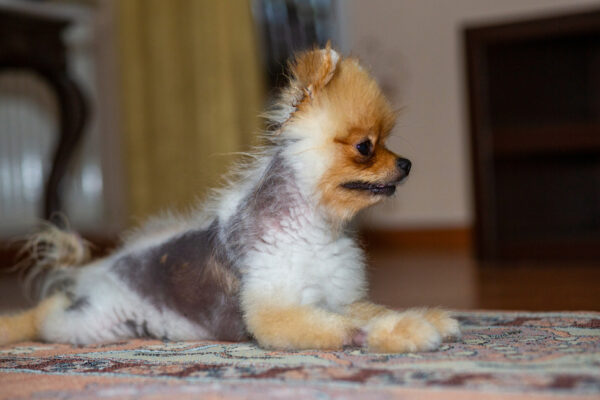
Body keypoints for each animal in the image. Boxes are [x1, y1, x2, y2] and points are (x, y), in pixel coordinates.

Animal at [0, 47, 460, 354]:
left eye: (389, 141)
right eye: (366, 147)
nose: (406, 164)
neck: (314, 230)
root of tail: (98, 268)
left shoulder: (335, 297)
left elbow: (369, 311)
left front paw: (424, 316)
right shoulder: (276, 309)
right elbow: (346, 327)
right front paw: (404, 331)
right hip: (91, 323)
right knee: (45, 314)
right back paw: (15, 324)